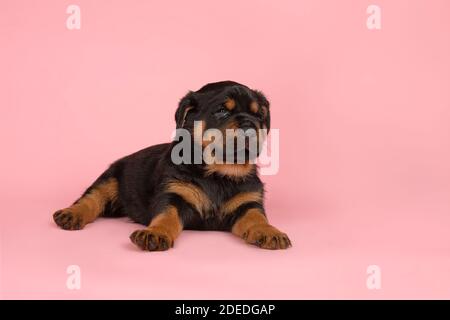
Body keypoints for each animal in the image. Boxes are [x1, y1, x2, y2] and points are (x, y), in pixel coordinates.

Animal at [53, 81, 292, 251]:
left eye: (259, 114)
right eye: (222, 110)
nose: (251, 125)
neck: (219, 173)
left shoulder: (248, 203)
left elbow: (257, 218)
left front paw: (270, 231)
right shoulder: (173, 195)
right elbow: (166, 216)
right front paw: (156, 233)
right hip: (111, 177)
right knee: (91, 198)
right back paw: (70, 215)